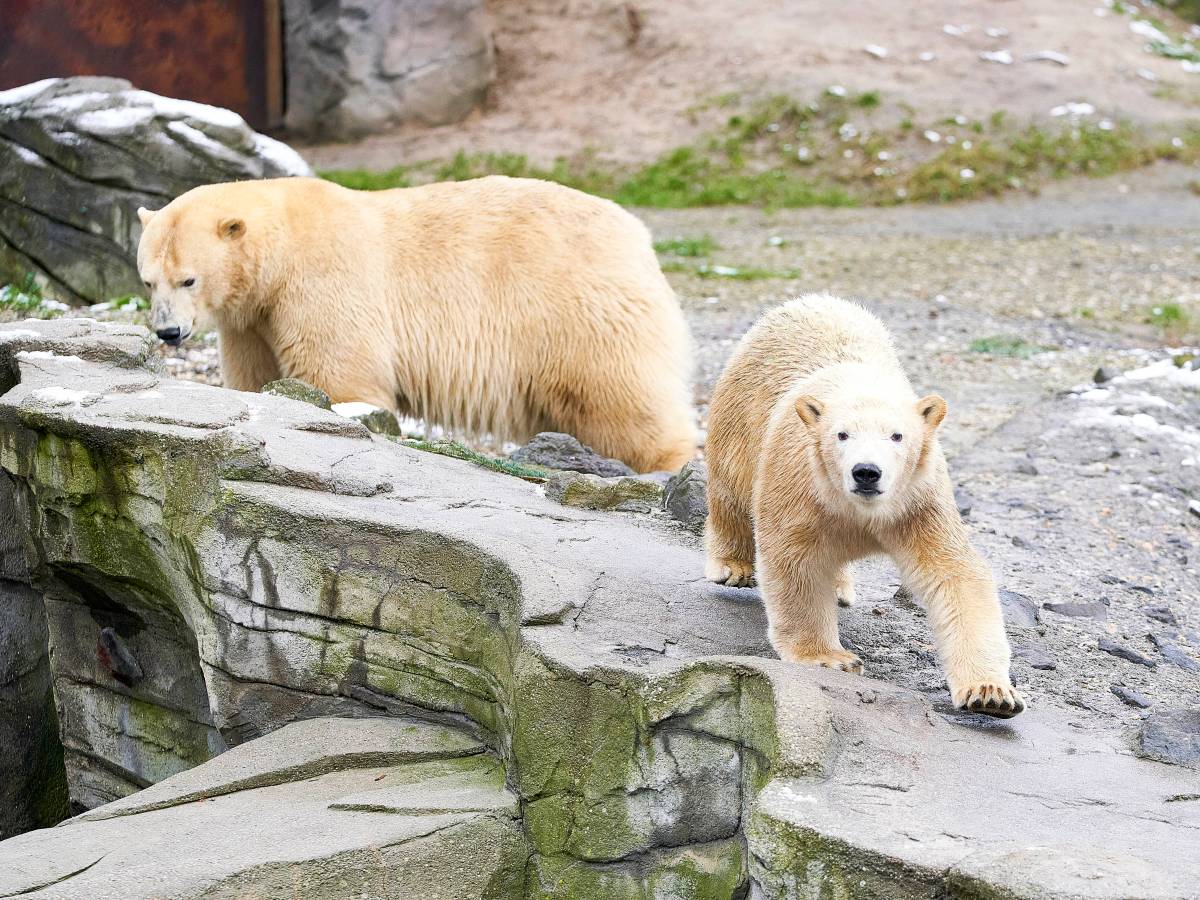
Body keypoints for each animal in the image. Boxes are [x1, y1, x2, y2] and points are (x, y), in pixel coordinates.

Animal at [133, 174, 696, 472]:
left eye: (188, 280)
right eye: (148, 281)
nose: (168, 333)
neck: (285, 246)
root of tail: (637, 234)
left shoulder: (323, 282)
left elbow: (342, 376)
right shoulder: (253, 320)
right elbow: (255, 377)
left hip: (574, 309)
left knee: (616, 397)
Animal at [705, 294, 1027, 720]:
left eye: (897, 436)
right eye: (842, 435)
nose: (866, 472)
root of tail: (812, 300)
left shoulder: (919, 501)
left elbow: (954, 574)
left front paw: (992, 694)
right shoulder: (799, 484)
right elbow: (795, 560)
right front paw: (832, 658)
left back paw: (840, 588)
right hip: (742, 413)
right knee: (732, 488)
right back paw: (733, 566)